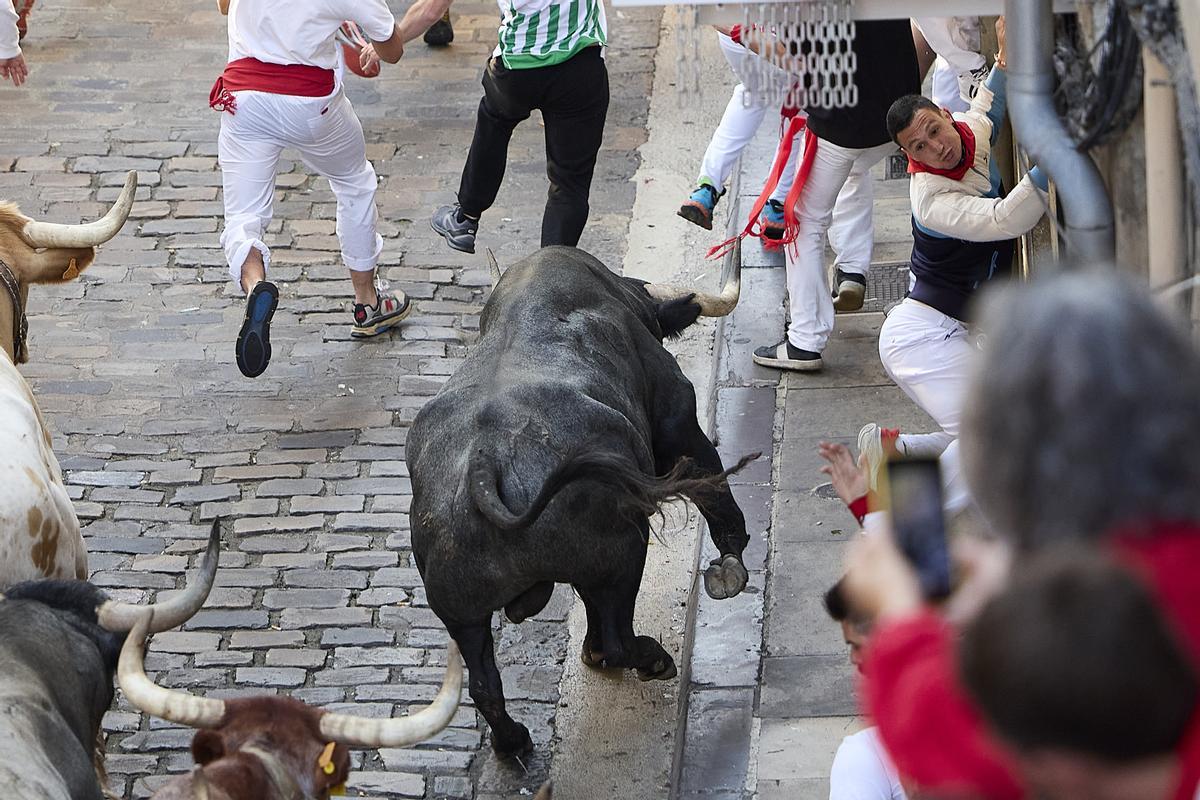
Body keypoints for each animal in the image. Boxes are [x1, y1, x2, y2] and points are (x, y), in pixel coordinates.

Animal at [408, 247, 753, 753]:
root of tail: (486, 465)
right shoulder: (676, 418)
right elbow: (713, 485)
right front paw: (731, 565)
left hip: (461, 612)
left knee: (484, 683)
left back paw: (513, 741)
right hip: (621, 552)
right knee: (615, 636)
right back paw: (649, 658)